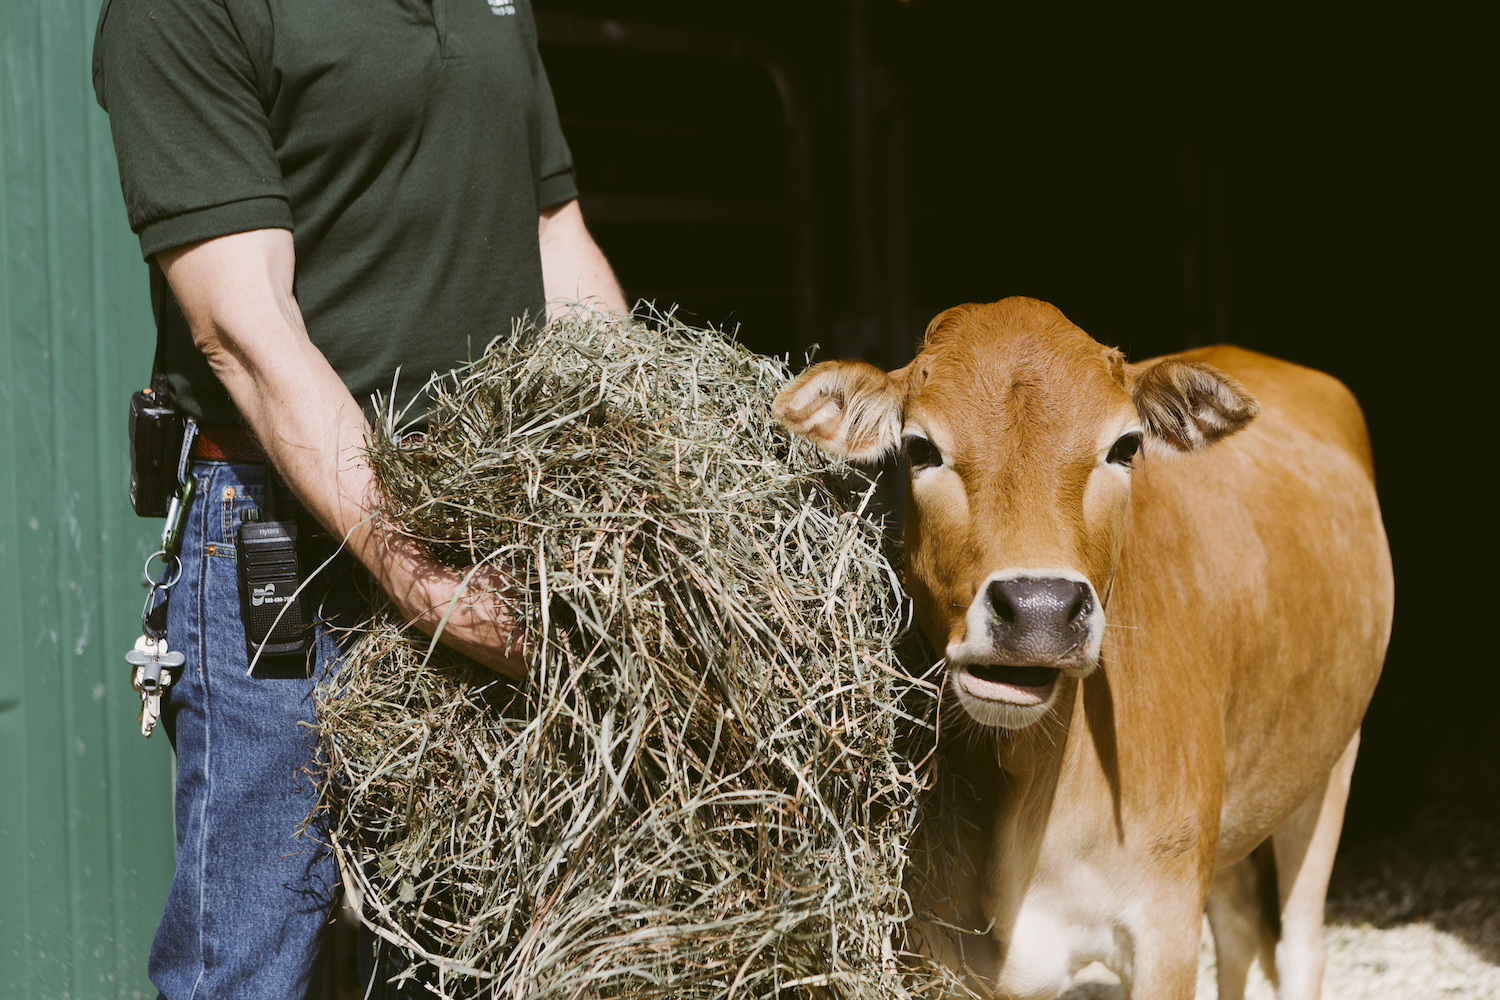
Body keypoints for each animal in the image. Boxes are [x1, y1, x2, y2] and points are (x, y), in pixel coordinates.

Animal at [774, 299, 1392, 1000]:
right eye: (919, 447)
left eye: (1125, 446)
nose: (1038, 609)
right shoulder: (934, 951)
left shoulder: (1163, 929)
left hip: (1330, 763)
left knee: (1297, 947)